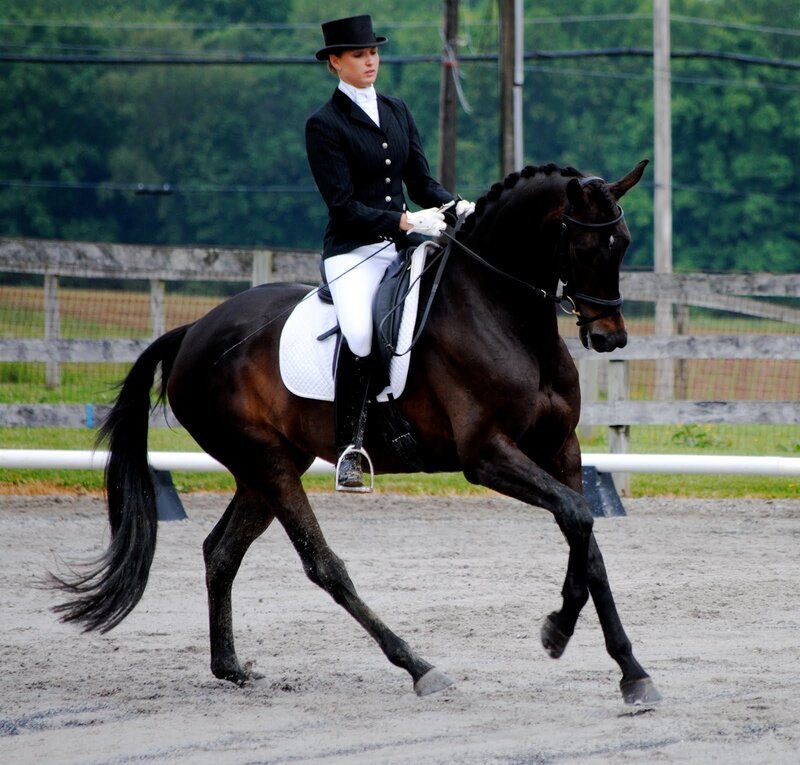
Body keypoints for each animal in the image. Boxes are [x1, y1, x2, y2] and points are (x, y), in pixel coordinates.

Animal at [52, 160, 660, 704]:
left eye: (625, 244)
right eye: (587, 246)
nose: (610, 337)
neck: (503, 315)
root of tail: (194, 330)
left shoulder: (561, 448)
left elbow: (589, 543)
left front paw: (631, 672)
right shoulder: (487, 455)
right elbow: (578, 518)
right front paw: (556, 630)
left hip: (267, 467)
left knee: (220, 552)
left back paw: (231, 668)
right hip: (268, 463)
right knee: (323, 565)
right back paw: (419, 667)